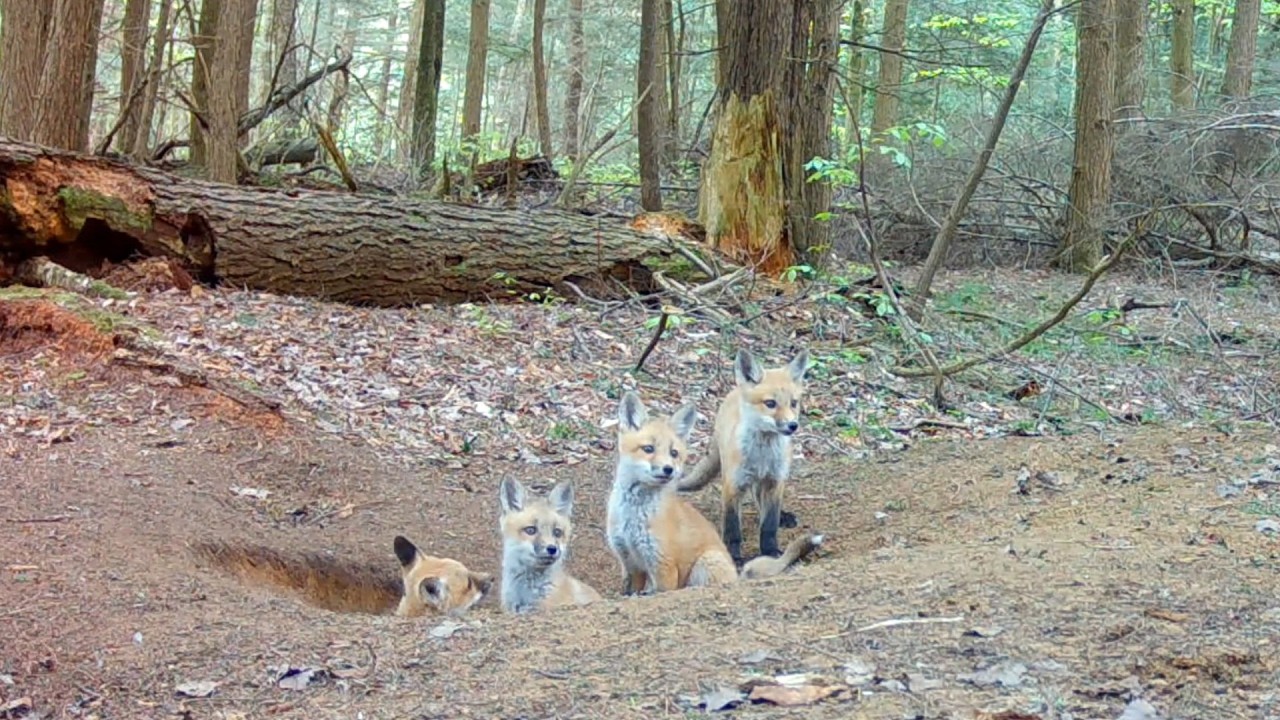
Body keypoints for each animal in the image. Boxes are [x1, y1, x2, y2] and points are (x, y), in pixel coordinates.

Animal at [606, 390, 823, 595]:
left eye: (674, 453)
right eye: (648, 449)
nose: (669, 469)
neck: (633, 516)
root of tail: (736, 577)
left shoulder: (663, 565)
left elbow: (660, 591)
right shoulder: (629, 561)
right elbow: (629, 591)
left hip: (705, 563)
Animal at [675, 347, 810, 565]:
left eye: (793, 403)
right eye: (770, 403)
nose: (792, 425)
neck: (762, 455)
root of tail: (734, 391)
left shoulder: (775, 481)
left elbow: (769, 524)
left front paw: (770, 550)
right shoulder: (733, 484)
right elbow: (732, 528)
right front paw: (735, 556)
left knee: (760, 501)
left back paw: (782, 516)